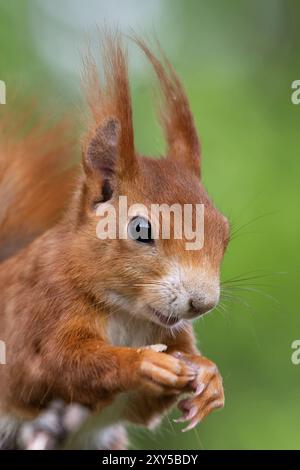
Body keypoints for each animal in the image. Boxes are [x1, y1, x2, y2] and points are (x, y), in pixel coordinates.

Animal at [0, 34, 230, 448]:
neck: (128, 313)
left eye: (225, 232)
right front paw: (142, 362)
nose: (202, 302)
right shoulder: (40, 312)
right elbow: (57, 364)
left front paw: (209, 377)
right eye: (140, 230)